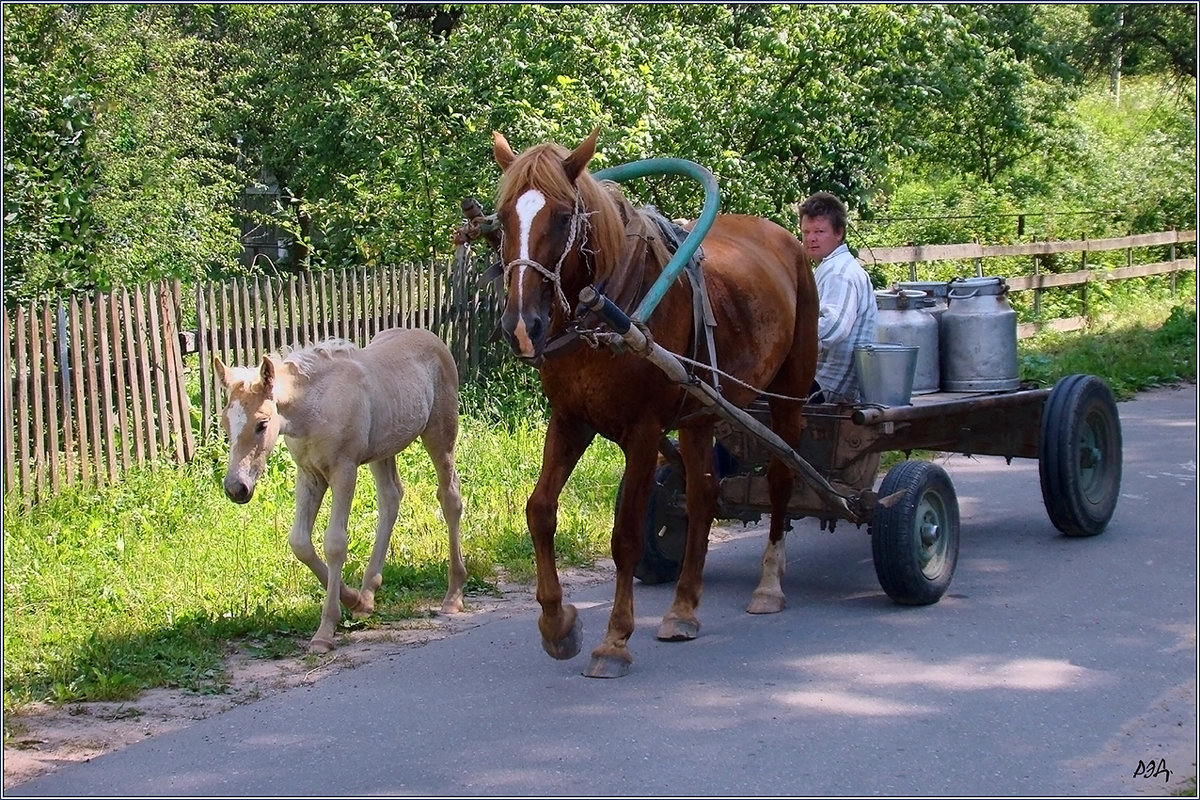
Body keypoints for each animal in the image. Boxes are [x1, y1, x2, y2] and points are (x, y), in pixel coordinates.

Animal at [213, 328, 465, 652]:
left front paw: (325, 630)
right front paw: (352, 599)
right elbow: (300, 542)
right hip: (383, 450)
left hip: (440, 433)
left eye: (262, 423)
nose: (236, 488)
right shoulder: (309, 475)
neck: (313, 407)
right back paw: (367, 595)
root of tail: (432, 338)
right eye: (225, 422)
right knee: (391, 498)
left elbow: (335, 543)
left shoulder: (344, 471)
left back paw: (453, 595)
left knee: (450, 497)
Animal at [492, 130, 820, 676]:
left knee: (781, 479)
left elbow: (625, 536)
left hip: (789, 399)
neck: (609, 311)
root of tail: (786, 240)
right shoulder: (570, 420)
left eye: (561, 217)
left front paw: (614, 641)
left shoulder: (642, 433)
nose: (522, 325)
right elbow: (539, 510)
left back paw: (769, 584)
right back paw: (683, 608)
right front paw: (558, 626)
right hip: (701, 410)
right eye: (501, 218)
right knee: (703, 494)